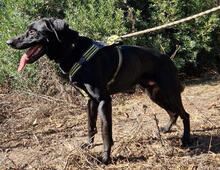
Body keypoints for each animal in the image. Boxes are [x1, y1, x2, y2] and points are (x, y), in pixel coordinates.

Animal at [6, 17, 190, 164]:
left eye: (32, 31)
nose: (8, 42)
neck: (74, 50)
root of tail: (168, 58)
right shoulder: (90, 100)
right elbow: (91, 125)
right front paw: (89, 144)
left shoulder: (103, 100)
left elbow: (105, 130)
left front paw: (105, 157)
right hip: (155, 94)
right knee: (174, 112)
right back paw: (166, 129)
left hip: (170, 92)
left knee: (185, 114)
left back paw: (186, 139)